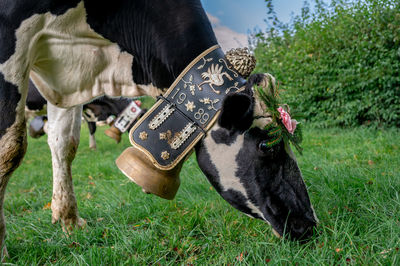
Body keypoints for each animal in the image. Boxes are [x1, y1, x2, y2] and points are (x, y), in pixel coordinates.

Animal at [0, 0, 318, 254]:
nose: (309, 223)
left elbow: (65, 144)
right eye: (266, 145)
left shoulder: (67, 84)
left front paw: (68, 221)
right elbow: (11, 148)